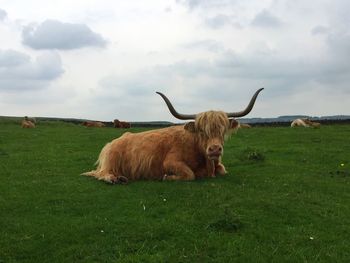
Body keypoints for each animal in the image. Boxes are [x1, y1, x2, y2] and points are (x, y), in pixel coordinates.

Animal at [82, 87, 262, 185]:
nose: (215, 149)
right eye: (201, 130)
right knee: (102, 174)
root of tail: (114, 141)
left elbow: (223, 170)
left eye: (223, 130)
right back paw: (115, 179)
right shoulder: (170, 162)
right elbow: (189, 174)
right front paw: (166, 177)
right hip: (111, 161)